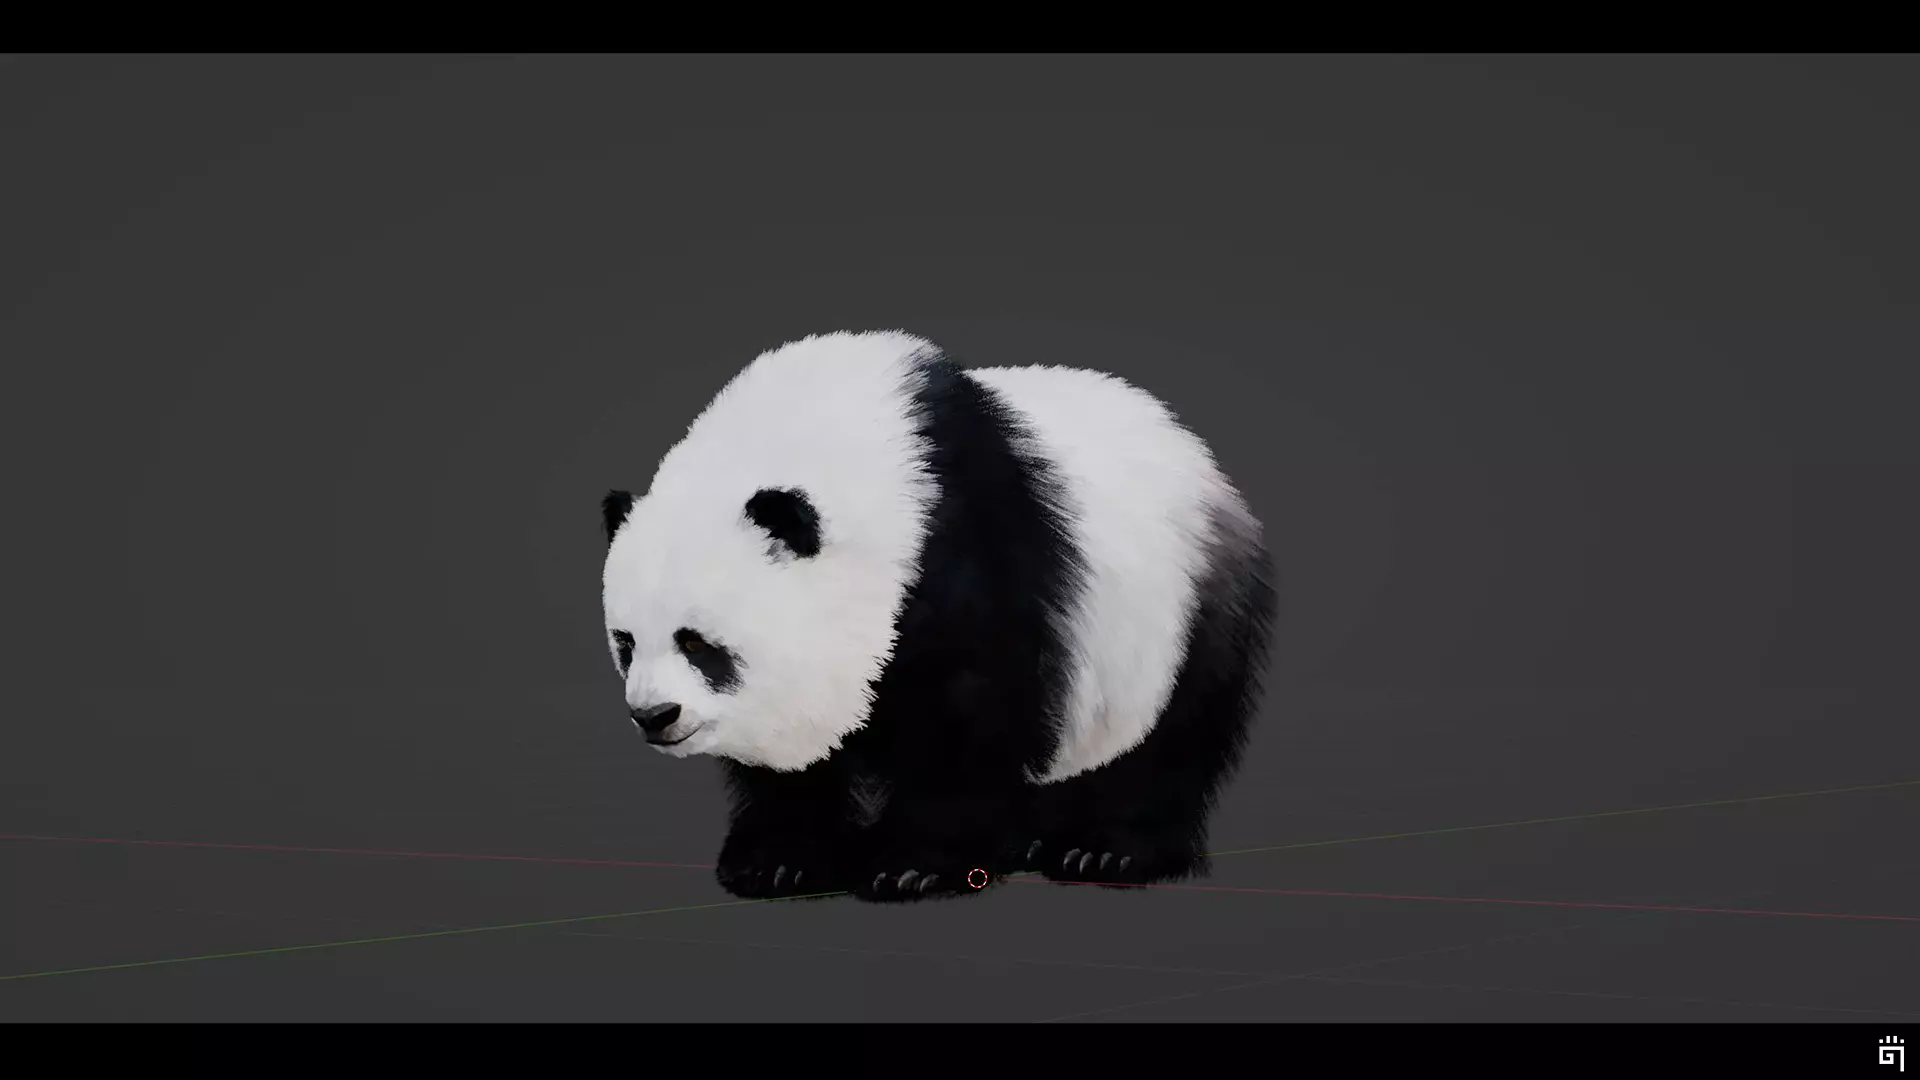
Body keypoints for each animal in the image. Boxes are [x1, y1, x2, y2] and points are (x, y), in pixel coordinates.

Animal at [600, 330, 1277, 903]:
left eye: (698, 644)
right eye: (626, 643)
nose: (654, 716)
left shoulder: (969, 550)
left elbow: (970, 713)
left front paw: (914, 866)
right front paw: (778, 860)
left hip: (1186, 611)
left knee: (1171, 736)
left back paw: (1107, 850)